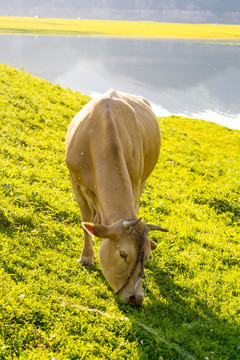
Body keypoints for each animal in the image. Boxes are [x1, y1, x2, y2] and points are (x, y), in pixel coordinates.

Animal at [64, 88, 168, 306]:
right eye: (122, 254)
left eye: (147, 257)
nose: (135, 298)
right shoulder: (75, 182)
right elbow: (85, 221)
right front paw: (86, 257)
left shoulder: (136, 181)